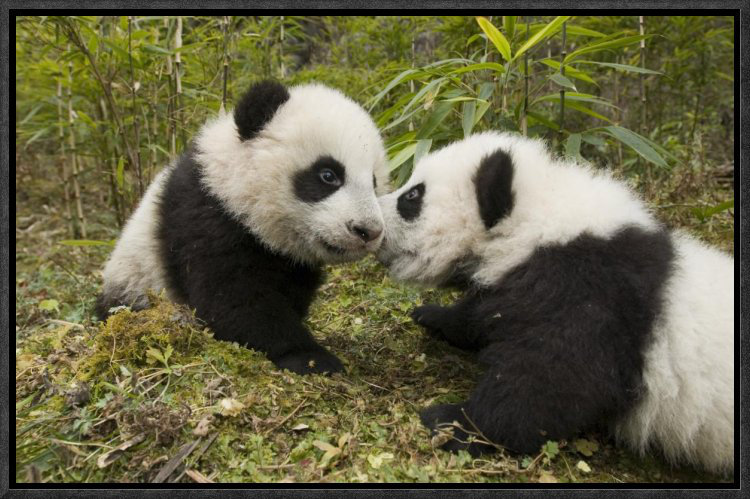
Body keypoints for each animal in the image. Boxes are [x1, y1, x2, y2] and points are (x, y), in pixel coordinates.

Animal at [96, 80, 389, 375]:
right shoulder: (205, 218)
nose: (368, 231)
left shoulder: (291, 262)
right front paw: (310, 357)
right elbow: (235, 301)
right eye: (328, 175)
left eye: (374, 181)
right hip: (134, 284)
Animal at [376, 131, 734, 474]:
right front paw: (435, 316)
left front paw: (454, 422)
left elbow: (556, 377)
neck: (539, 225)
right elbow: (486, 310)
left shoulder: (592, 292)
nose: (372, 227)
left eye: (413, 196)